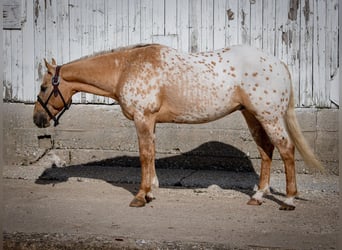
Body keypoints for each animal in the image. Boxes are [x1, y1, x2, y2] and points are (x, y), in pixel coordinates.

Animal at [33, 44, 322, 210]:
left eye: (44, 87)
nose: (38, 119)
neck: (126, 68)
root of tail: (278, 63)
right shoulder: (150, 122)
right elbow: (151, 156)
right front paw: (151, 192)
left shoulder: (142, 118)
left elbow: (144, 156)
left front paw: (140, 196)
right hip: (252, 116)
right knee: (266, 152)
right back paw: (258, 196)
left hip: (268, 116)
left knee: (286, 150)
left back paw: (288, 200)